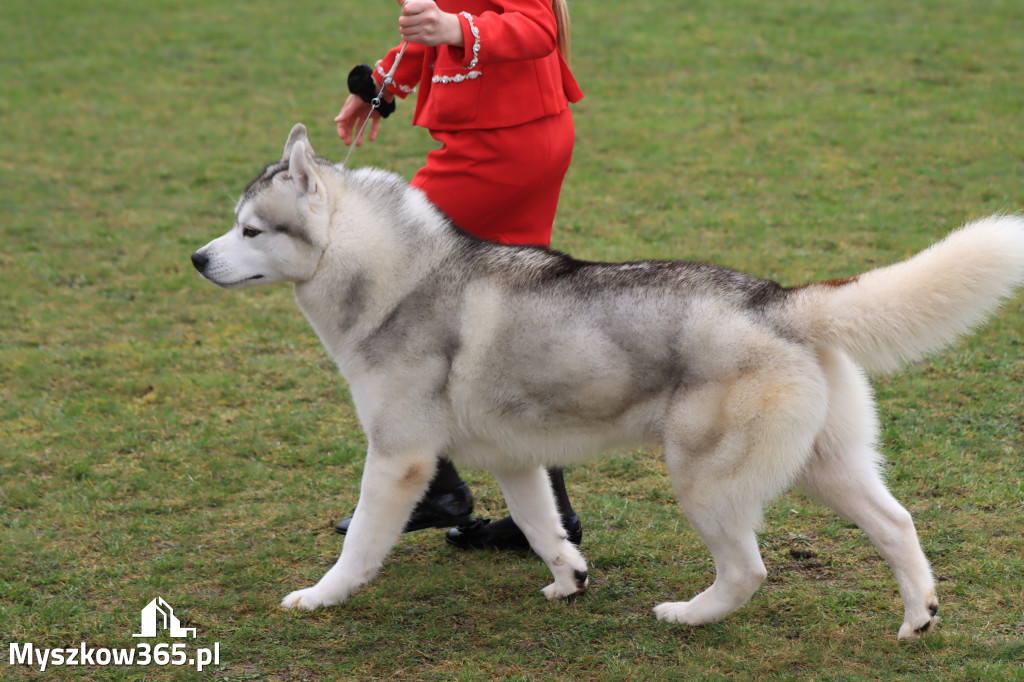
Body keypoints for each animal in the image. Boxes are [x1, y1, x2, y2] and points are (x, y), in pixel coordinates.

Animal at [192, 123, 1024, 638]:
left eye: (251, 230)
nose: (197, 259)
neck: (397, 281)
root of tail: (778, 298)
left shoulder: (398, 460)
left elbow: (364, 544)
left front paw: (321, 596)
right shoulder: (517, 460)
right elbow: (542, 527)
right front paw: (569, 580)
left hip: (705, 480)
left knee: (748, 569)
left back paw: (690, 616)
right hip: (826, 467)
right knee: (898, 524)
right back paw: (918, 617)